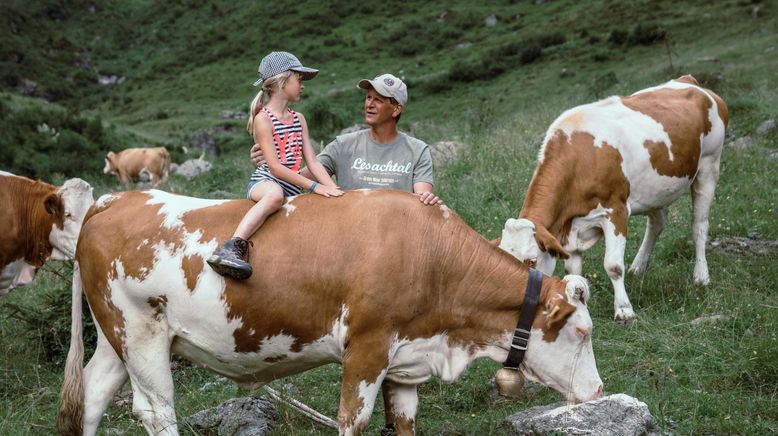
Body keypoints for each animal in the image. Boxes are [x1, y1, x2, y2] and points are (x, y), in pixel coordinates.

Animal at [57, 190, 600, 436]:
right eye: (581, 332)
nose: (597, 392)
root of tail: (116, 198)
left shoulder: (406, 358)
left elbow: (404, 422)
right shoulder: (367, 347)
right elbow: (353, 420)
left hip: (116, 338)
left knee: (93, 397)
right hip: (142, 335)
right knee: (156, 409)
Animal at [498, 74, 728, 320]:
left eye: (531, 260)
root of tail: (689, 81)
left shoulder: (615, 211)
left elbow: (613, 266)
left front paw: (624, 310)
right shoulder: (571, 229)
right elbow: (573, 271)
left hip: (709, 164)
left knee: (699, 225)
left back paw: (701, 276)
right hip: (655, 189)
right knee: (657, 224)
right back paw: (638, 267)